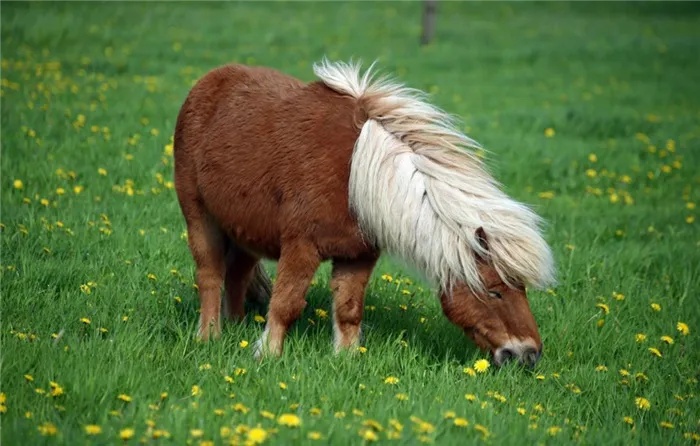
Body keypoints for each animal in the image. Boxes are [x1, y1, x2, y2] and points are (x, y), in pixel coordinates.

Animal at [172, 57, 556, 368]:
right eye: (494, 291)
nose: (528, 354)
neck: (355, 176)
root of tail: (207, 83)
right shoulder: (301, 248)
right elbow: (286, 303)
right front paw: (267, 354)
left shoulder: (357, 256)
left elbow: (348, 310)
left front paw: (346, 359)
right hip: (200, 217)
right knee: (210, 275)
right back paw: (209, 336)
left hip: (245, 232)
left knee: (237, 274)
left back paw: (235, 327)